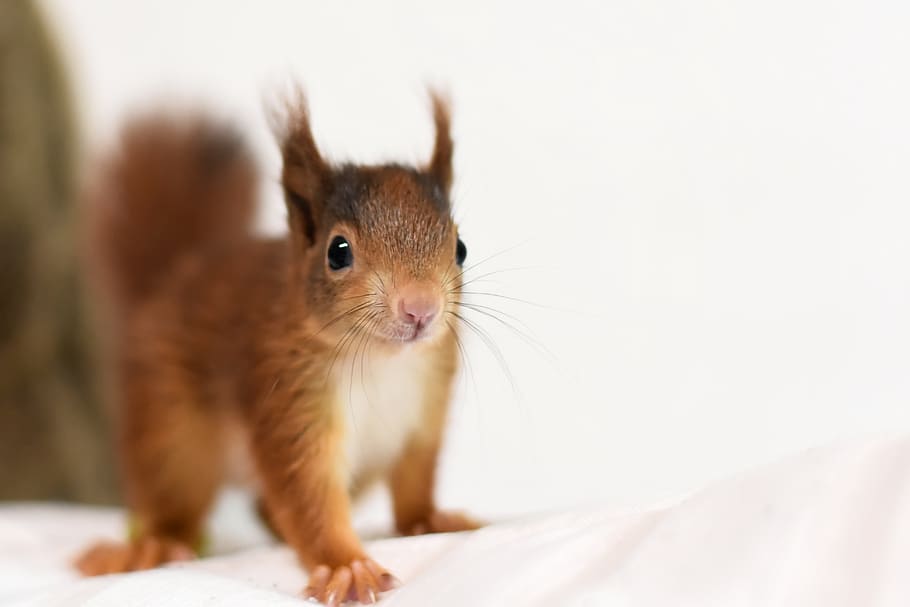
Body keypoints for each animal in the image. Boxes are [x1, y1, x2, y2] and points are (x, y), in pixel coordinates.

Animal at [76, 92, 484, 604]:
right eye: (338, 252)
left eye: (461, 248)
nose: (420, 308)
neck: (381, 361)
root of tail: (168, 283)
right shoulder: (287, 398)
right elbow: (307, 495)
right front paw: (346, 566)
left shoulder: (425, 412)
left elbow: (416, 478)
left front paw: (429, 520)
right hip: (170, 428)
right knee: (173, 497)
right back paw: (153, 545)